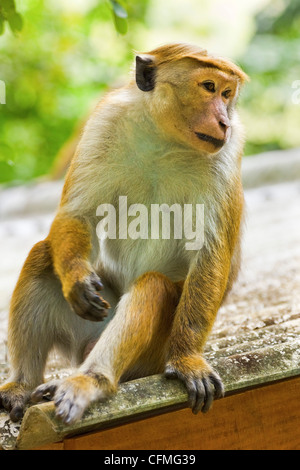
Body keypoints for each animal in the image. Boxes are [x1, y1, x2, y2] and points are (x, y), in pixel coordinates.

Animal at [0, 44, 248, 424]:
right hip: (91, 323)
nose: (225, 122)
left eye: (227, 94)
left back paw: (89, 382)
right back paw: (22, 386)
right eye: (209, 87)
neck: (165, 139)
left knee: (154, 288)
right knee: (43, 253)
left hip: (151, 354)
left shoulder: (225, 158)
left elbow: (210, 254)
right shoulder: (104, 123)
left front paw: (187, 360)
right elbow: (77, 214)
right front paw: (76, 279)